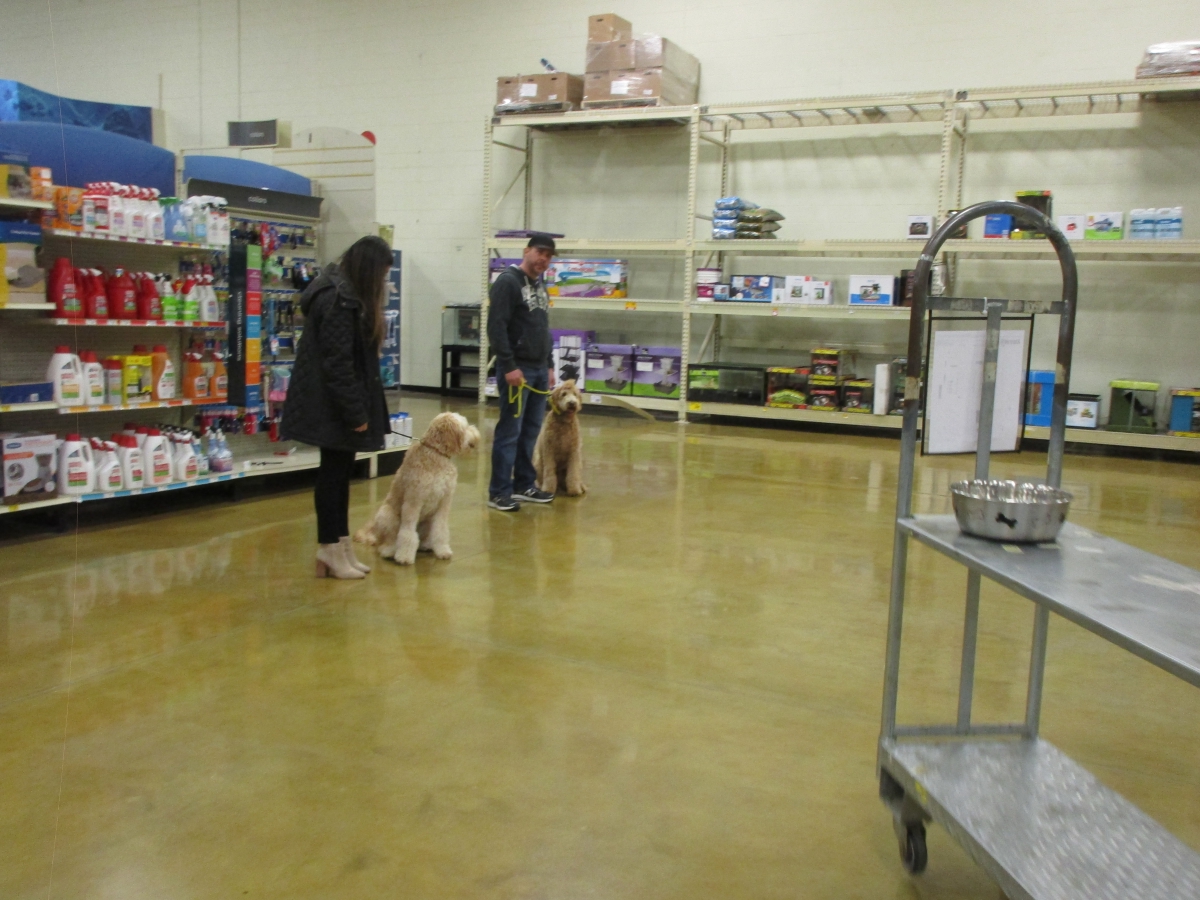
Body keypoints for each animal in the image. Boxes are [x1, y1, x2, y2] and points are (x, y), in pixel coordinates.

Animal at [354, 411, 480, 565]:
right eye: (465, 426)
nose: (477, 434)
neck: (436, 454)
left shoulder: (444, 502)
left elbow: (441, 530)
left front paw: (443, 551)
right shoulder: (413, 501)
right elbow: (407, 532)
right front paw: (404, 557)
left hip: (427, 522)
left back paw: (426, 545)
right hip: (386, 514)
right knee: (387, 542)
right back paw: (390, 551)